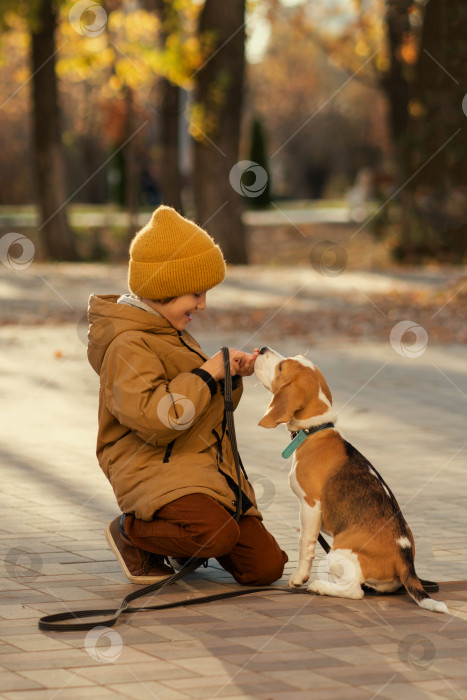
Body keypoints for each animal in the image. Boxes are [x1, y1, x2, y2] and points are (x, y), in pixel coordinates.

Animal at [256, 346, 450, 612]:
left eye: (281, 367)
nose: (262, 349)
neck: (315, 431)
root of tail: (405, 559)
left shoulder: (310, 505)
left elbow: (305, 542)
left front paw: (298, 578)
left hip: (336, 554)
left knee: (355, 591)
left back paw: (319, 586)